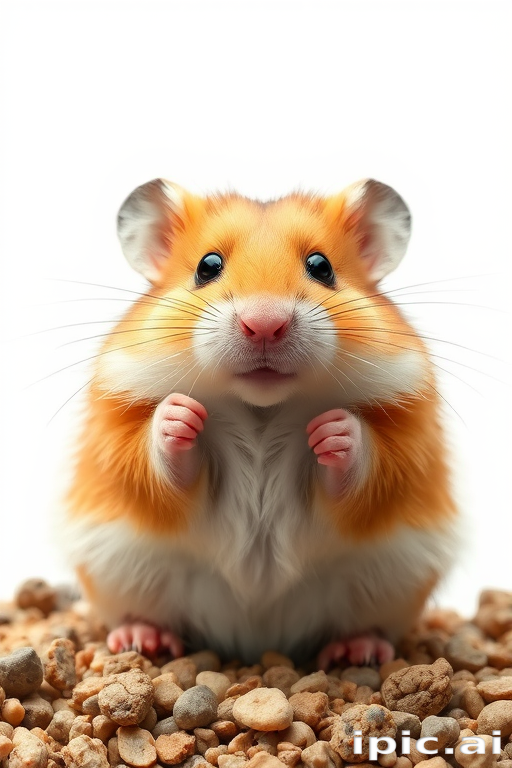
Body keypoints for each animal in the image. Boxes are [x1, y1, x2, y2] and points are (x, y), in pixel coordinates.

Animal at [64, 178, 458, 666]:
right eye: (207, 266)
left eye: (321, 267)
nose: (265, 323)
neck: (262, 407)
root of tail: (256, 641)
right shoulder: (117, 432)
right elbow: (160, 462)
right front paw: (181, 414)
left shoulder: (406, 437)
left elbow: (365, 469)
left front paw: (332, 429)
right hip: (121, 570)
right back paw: (143, 638)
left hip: (392, 581)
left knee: (367, 625)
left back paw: (355, 651)